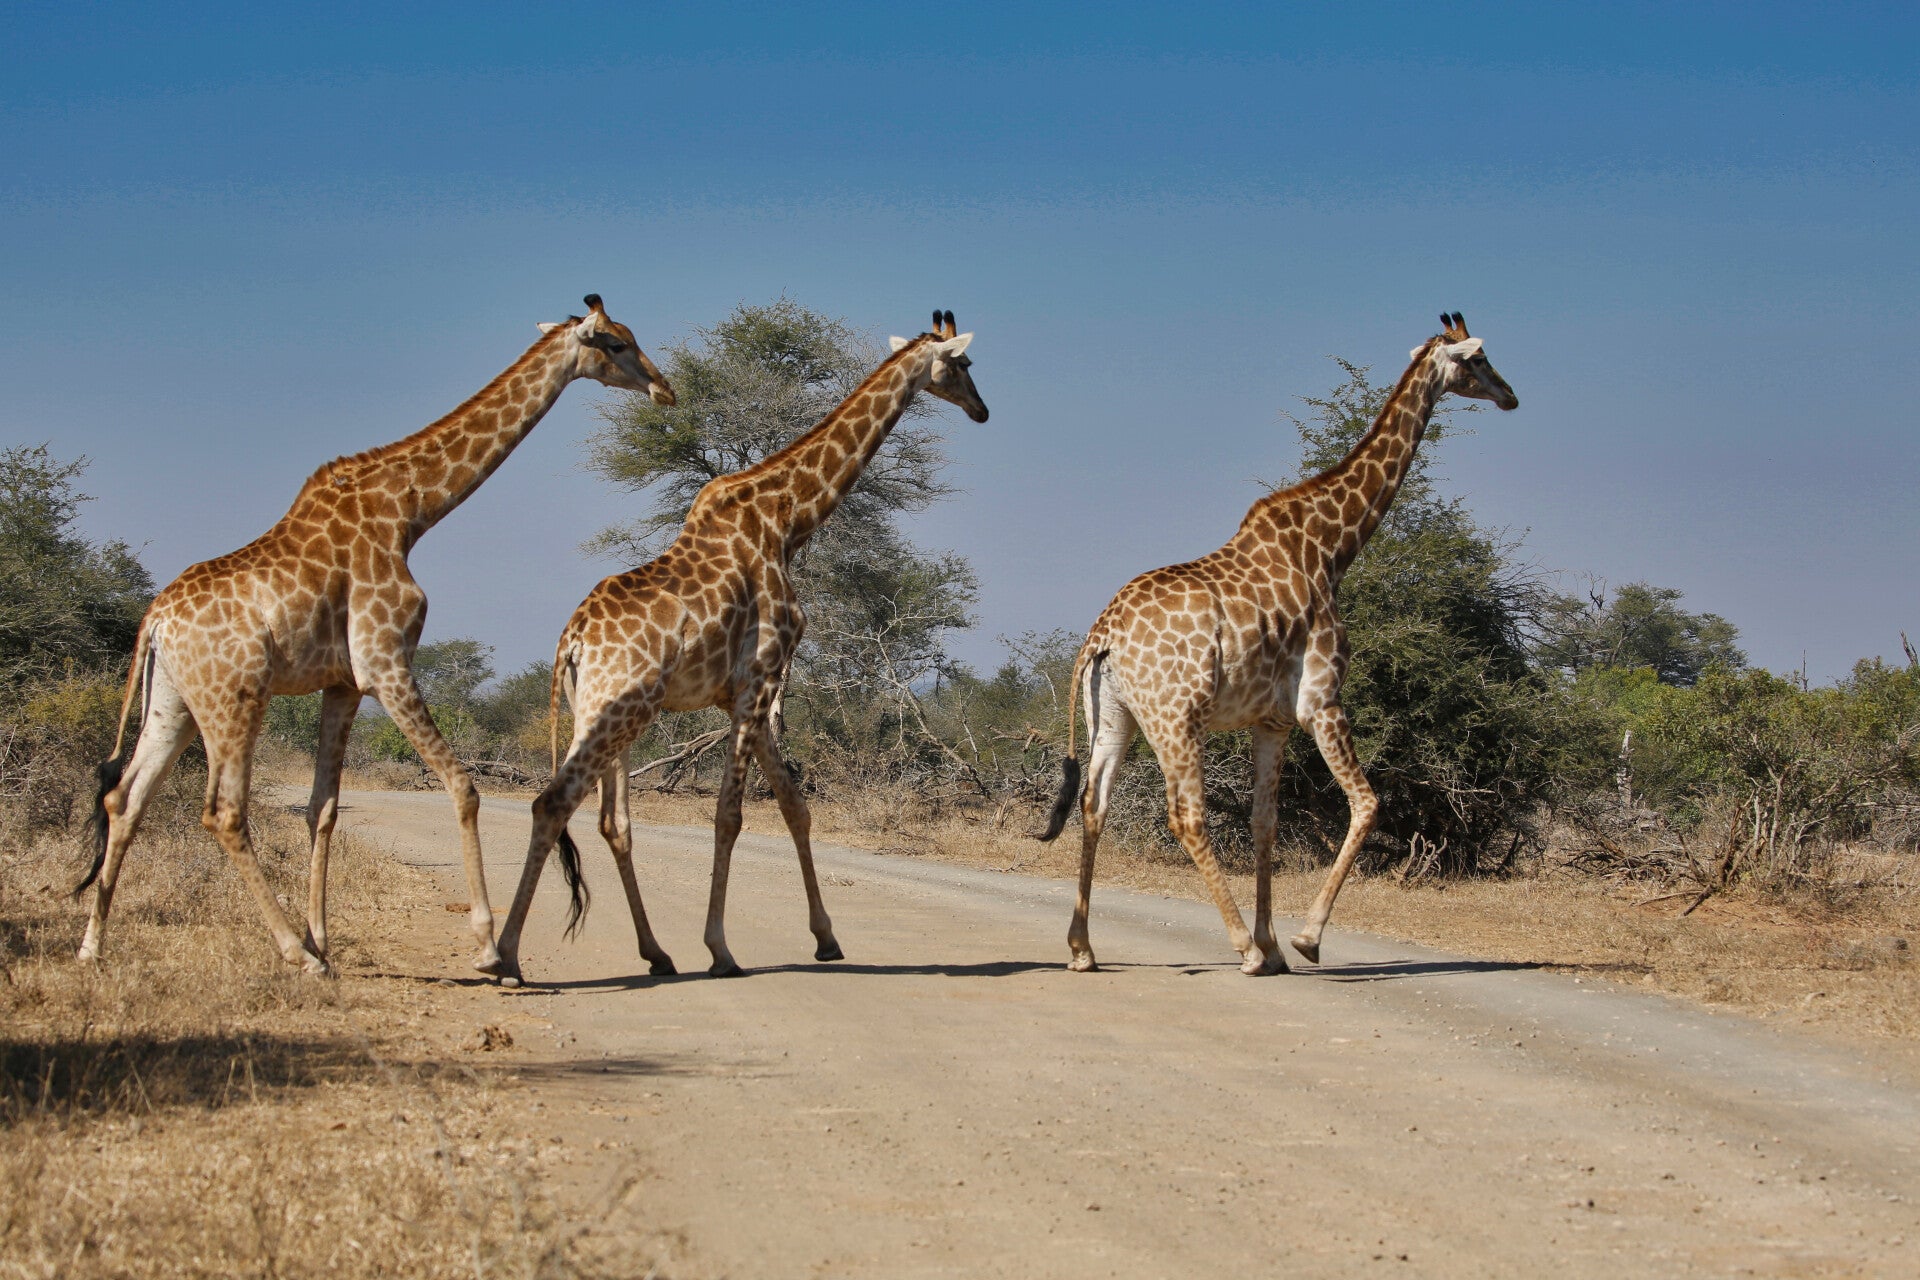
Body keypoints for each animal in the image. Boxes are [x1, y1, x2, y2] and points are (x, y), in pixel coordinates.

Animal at [76, 296, 674, 975]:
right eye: (616, 343)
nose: (664, 389)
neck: (409, 512)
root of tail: (154, 620)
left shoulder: (343, 683)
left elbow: (323, 808)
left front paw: (324, 939)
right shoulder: (385, 661)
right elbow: (462, 786)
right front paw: (486, 944)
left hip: (173, 702)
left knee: (124, 800)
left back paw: (93, 947)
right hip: (235, 696)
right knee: (223, 812)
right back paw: (293, 955)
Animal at [486, 310, 988, 985]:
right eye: (963, 365)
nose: (982, 409)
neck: (789, 517)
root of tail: (571, 641)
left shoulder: (738, 692)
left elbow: (794, 805)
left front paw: (826, 938)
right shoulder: (762, 674)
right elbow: (731, 814)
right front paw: (720, 949)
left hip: (600, 712)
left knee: (612, 821)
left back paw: (656, 953)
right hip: (620, 710)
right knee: (552, 803)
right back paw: (508, 956)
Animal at [1036, 314, 1518, 974]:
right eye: (1480, 358)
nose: (1510, 395)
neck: (1330, 547)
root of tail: (1099, 636)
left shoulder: (1273, 719)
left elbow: (1265, 821)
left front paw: (1276, 941)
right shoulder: (1321, 700)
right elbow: (1367, 804)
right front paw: (1302, 940)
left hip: (1115, 717)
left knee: (1093, 805)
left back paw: (1083, 948)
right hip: (1176, 717)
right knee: (1187, 815)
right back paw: (1240, 947)